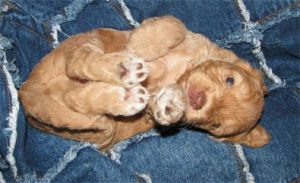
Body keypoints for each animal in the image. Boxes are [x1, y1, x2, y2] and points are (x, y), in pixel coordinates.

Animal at [19, 15, 270, 150]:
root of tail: (28, 91)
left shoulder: (151, 109)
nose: (197, 100)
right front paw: (140, 45)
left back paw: (126, 89)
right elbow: (175, 25)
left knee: (75, 95)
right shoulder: (189, 36)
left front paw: (171, 105)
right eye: (230, 80)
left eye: (215, 125)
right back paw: (127, 67)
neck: (182, 72)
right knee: (77, 66)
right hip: (89, 40)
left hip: (102, 128)